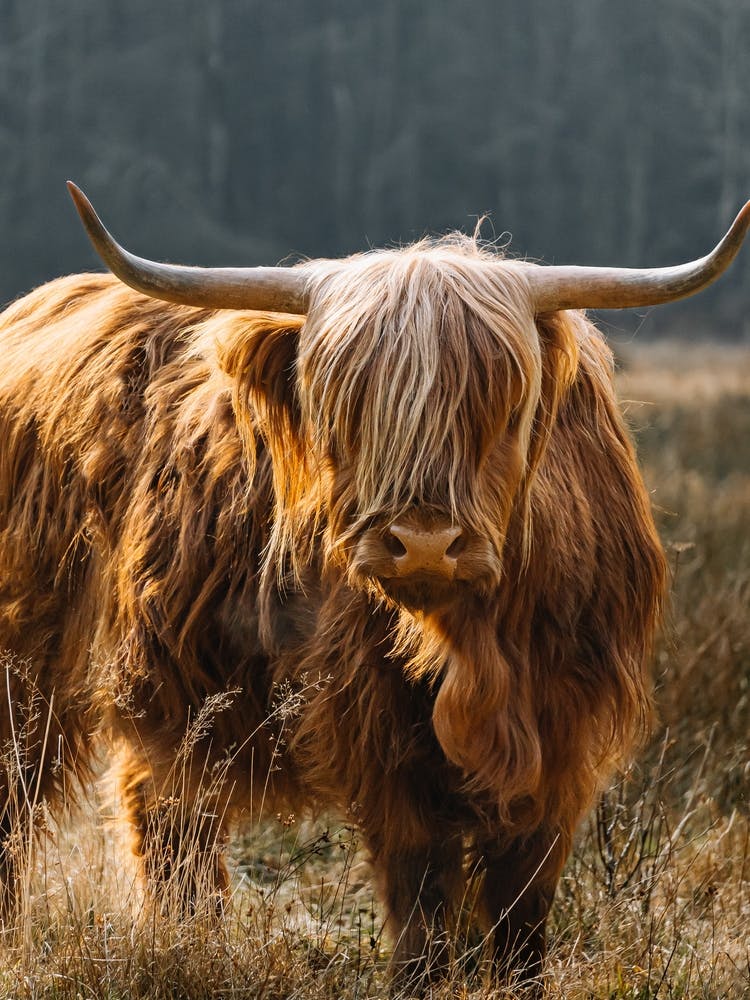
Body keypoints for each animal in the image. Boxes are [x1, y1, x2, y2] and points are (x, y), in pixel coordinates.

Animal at [0, 182, 747, 990]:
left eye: (500, 404)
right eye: (346, 412)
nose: (422, 543)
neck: (472, 649)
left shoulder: (560, 740)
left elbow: (523, 908)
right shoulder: (383, 742)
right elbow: (420, 899)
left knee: (168, 815)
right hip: (38, 677)